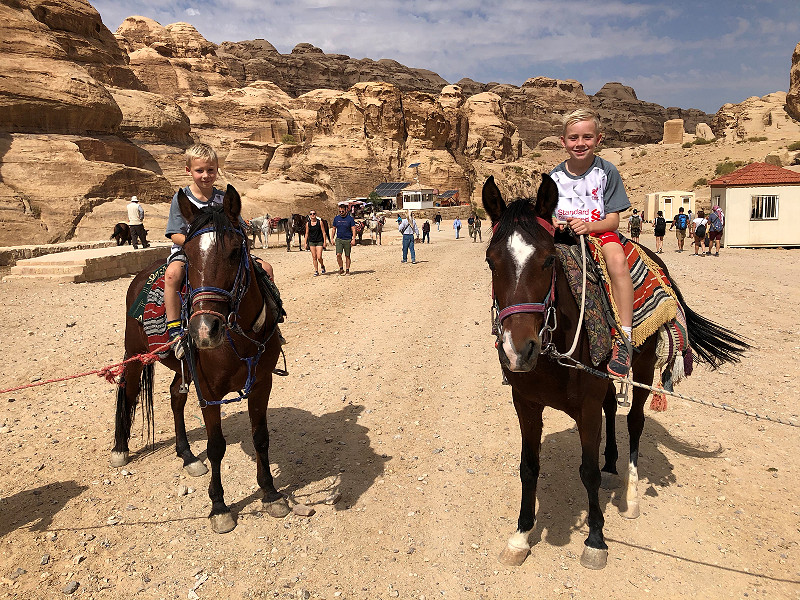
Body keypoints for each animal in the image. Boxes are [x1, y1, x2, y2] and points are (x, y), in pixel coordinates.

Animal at [111, 185, 290, 532]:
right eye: (190, 256)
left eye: (235, 252)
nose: (204, 330)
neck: (237, 339)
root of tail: (139, 277)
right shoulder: (208, 391)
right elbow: (216, 446)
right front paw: (219, 506)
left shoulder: (261, 384)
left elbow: (260, 438)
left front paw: (271, 493)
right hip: (136, 355)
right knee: (128, 392)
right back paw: (120, 449)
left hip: (184, 369)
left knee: (174, 397)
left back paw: (187, 455)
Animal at [482, 176, 752, 568]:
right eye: (491, 261)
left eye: (549, 260)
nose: (518, 350)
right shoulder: (526, 403)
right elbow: (529, 467)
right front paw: (520, 536)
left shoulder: (586, 406)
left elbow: (587, 471)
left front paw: (595, 539)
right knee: (612, 409)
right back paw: (612, 466)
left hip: (643, 372)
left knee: (635, 423)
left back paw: (631, 497)